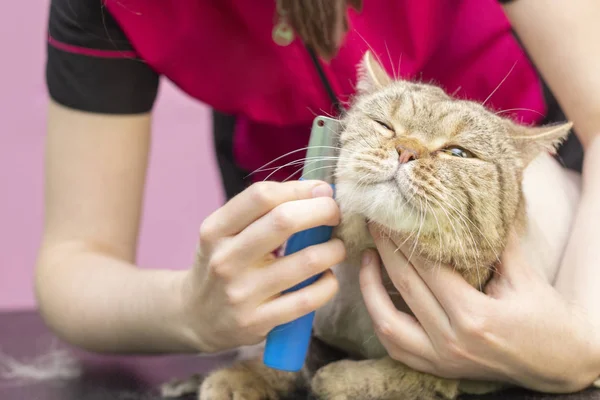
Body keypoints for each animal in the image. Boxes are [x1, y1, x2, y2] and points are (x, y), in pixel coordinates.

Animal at [159, 50, 580, 400]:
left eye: (458, 153)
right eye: (385, 125)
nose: (406, 150)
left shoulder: (476, 366)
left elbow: (411, 375)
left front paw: (337, 378)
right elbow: (281, 353)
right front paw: (243, 376)